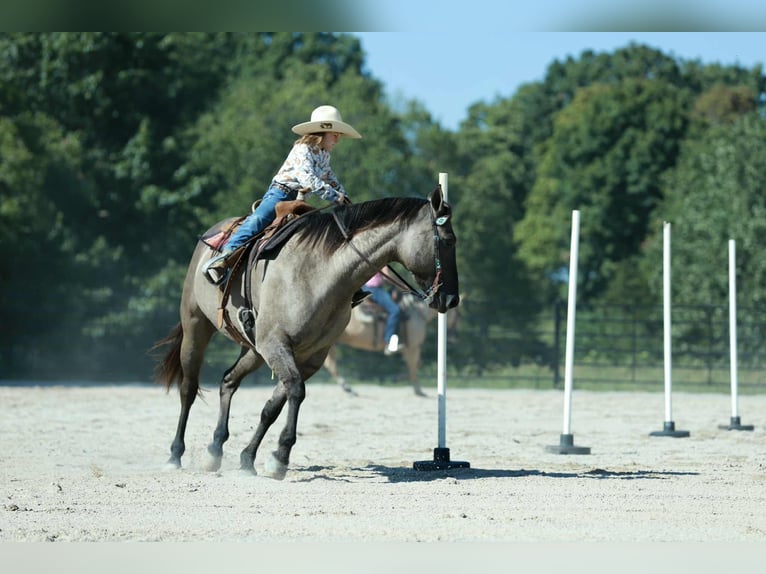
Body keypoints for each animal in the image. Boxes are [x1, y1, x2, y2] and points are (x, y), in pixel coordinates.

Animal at [323, 292, 460, 396]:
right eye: (458, 314)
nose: (454, 338)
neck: (417, 311)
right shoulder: (413, 347)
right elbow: (413, 367)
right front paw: (418, 391)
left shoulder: (409, 348)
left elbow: (416, 365)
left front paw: (398, 378)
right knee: (331, 365)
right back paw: (348, 388)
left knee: (330, 365)